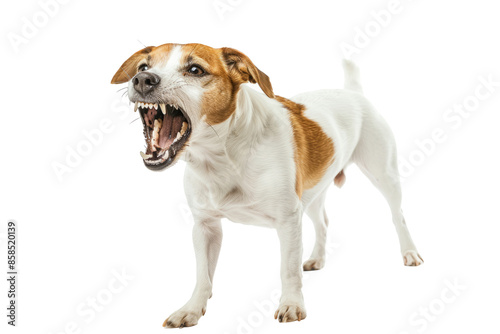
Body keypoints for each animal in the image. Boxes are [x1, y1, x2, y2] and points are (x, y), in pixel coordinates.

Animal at [111, 43, 424, 328]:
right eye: (143, 66)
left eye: (195, 70)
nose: (142, 79)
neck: (222, 157)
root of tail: (353, 93)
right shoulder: (205, 226)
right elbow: (203, 275)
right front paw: (191, 309)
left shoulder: (288, 221)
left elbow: (288, 270)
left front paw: (292, 305)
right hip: (313, 193)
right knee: (323, 222)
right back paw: (316, 258)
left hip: (383, 175)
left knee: (398, 216)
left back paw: (410, 253)